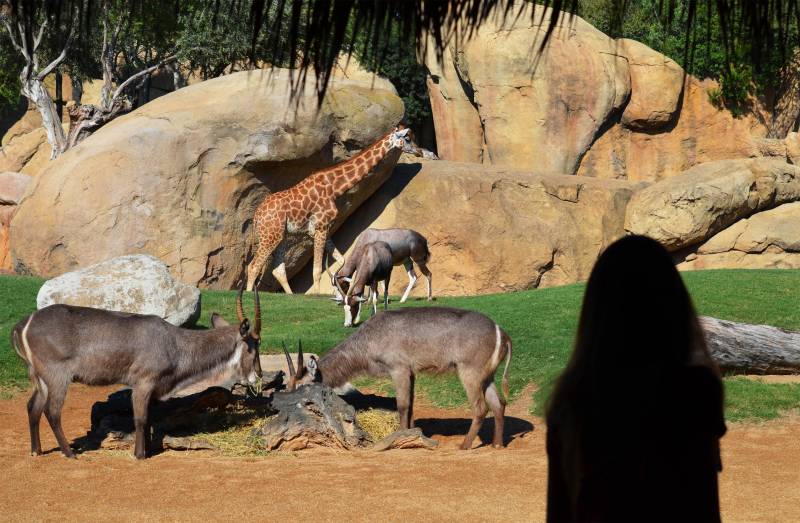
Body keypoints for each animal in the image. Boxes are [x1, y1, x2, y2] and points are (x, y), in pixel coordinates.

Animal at [9, 284, 264, 460]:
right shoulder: (143, 383)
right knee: (51, 411)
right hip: (57, 376)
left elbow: (150, 418)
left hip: (39, 378)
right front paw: (140, 455)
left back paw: (36, 451)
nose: (258, 375)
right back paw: (69, 453)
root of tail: (22, 325)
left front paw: (149, 449)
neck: (175, 343)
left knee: (32, 407)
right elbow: (140, 419)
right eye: (254, 345)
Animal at [247, 124, 416, 292]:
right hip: (270, 235)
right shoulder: (319, 227)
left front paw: (339, 290)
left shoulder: (324, 228)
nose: (419, 151)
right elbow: (316, 270)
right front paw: (318, 295)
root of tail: (257, 215)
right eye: (407, 138)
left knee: (278, 270)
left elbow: (341, 260)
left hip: (280, 236)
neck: (334, 188)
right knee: (253, 266)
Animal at [282, 308, 512, 450]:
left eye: (301, 387)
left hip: (469, 372)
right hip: (487, 376)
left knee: (481, 408)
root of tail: (501, 332)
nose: (288, 408)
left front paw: (400, 437)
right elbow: (411, 405)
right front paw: (413, 433)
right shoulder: (411, 372)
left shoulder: (399, 369)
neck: (368, 339)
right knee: (499, 404)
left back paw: (464, 445)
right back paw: (497, 444)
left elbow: (402, 405)